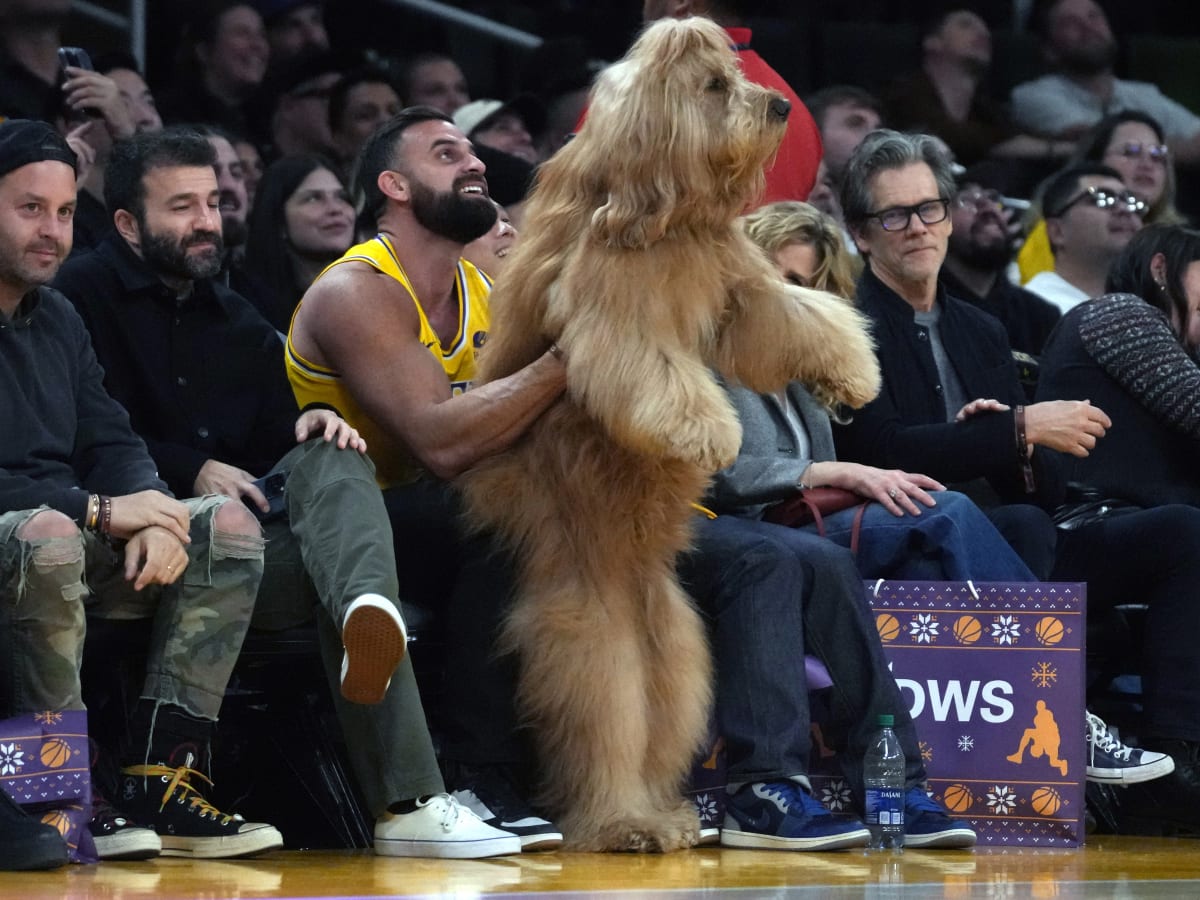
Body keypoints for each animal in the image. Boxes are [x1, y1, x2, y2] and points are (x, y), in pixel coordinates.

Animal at [458, 17, 883, 854]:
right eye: (715, 85)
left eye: (737, 74)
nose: (780, 107)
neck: (667, 208)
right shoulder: (612, 308)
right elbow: (650, 364)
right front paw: (706, 431)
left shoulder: (740, 286)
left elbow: (796, 315)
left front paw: (851, 371)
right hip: (591, 624)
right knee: (604, 715)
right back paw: (624, 820)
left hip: (676, 635)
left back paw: (666, 812)